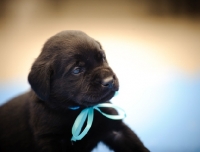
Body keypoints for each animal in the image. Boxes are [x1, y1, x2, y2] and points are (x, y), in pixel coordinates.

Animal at [0, 30, 148, 152]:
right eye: (77, 70)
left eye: (102, 57)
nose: (109, 81)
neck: (79, 110)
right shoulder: (51, 141)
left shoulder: (116, 130)